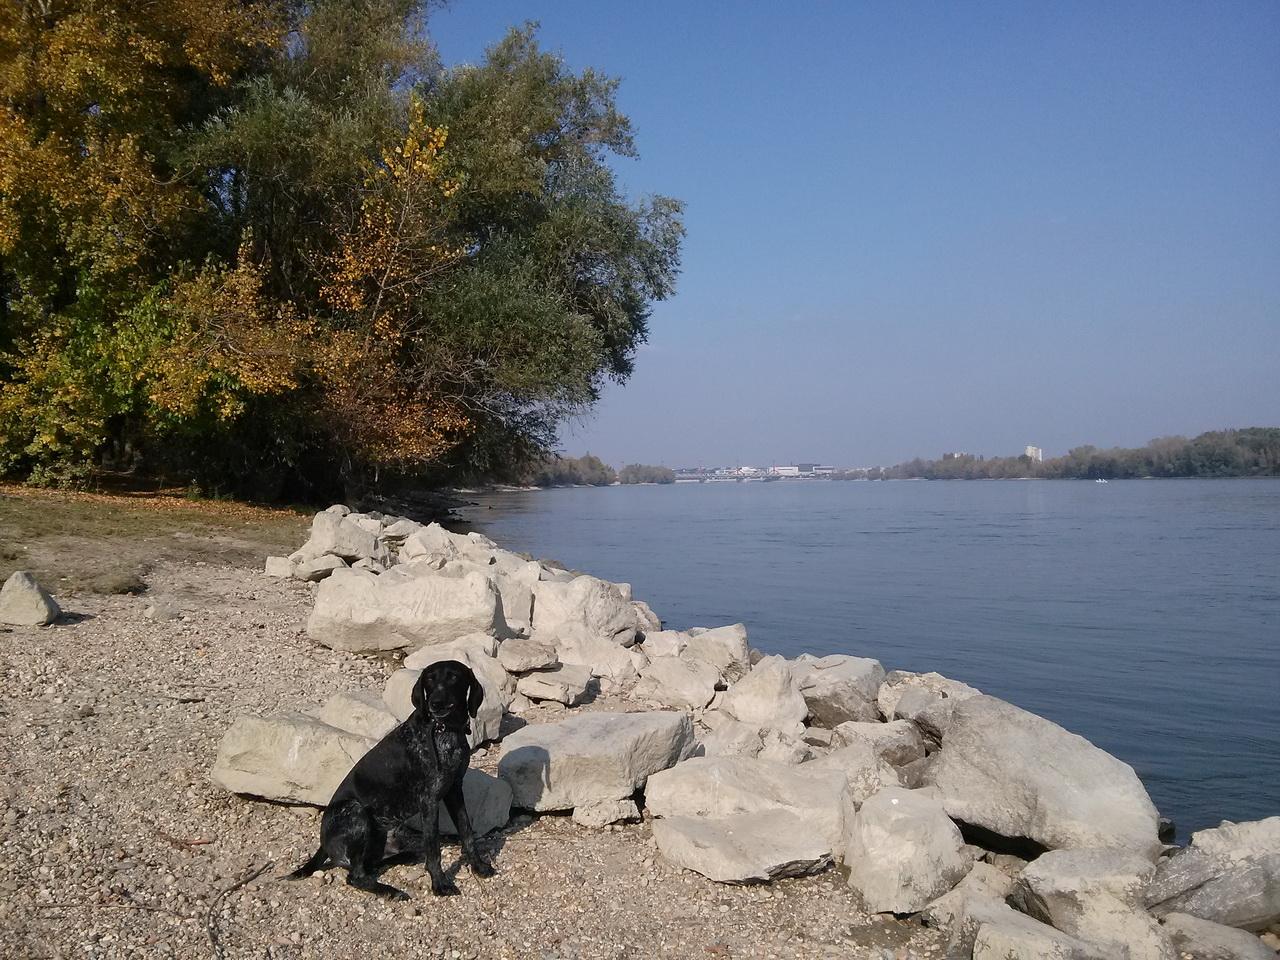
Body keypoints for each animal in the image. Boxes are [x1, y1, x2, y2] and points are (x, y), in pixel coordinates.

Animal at [287, 659, 495, 899]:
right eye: (429, 680)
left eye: (453, 677)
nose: (435, 703)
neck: (444, 730)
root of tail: (323, 843)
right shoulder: (429, 801)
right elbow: (433, 849)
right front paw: (439, 883)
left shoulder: (454, 790)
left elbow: (467, 832)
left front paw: (478, 866)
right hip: (355, 811)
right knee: (356, 876)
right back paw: (390, 890)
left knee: (371, 864)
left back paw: (406, 857)